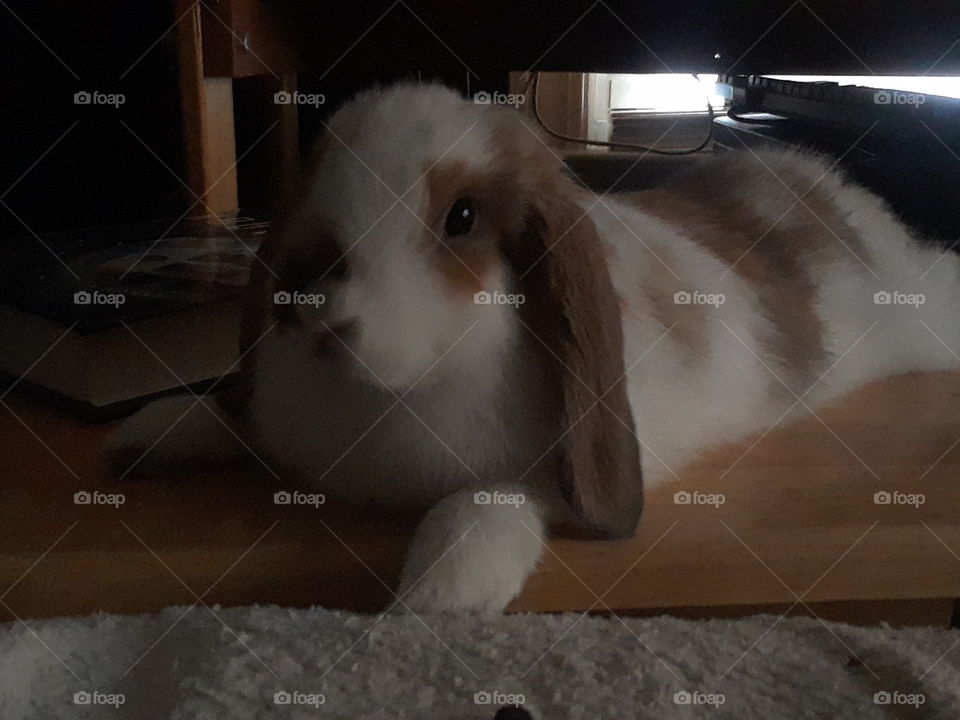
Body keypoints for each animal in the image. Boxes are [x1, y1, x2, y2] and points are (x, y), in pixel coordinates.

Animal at [105, 82, 960, 613]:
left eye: (461, 218)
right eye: (315, 190)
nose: (317, 319)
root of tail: (821, 186)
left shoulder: (536, 478)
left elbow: (478, 510)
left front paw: (433, 602)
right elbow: (229, 419)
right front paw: (141, 438)